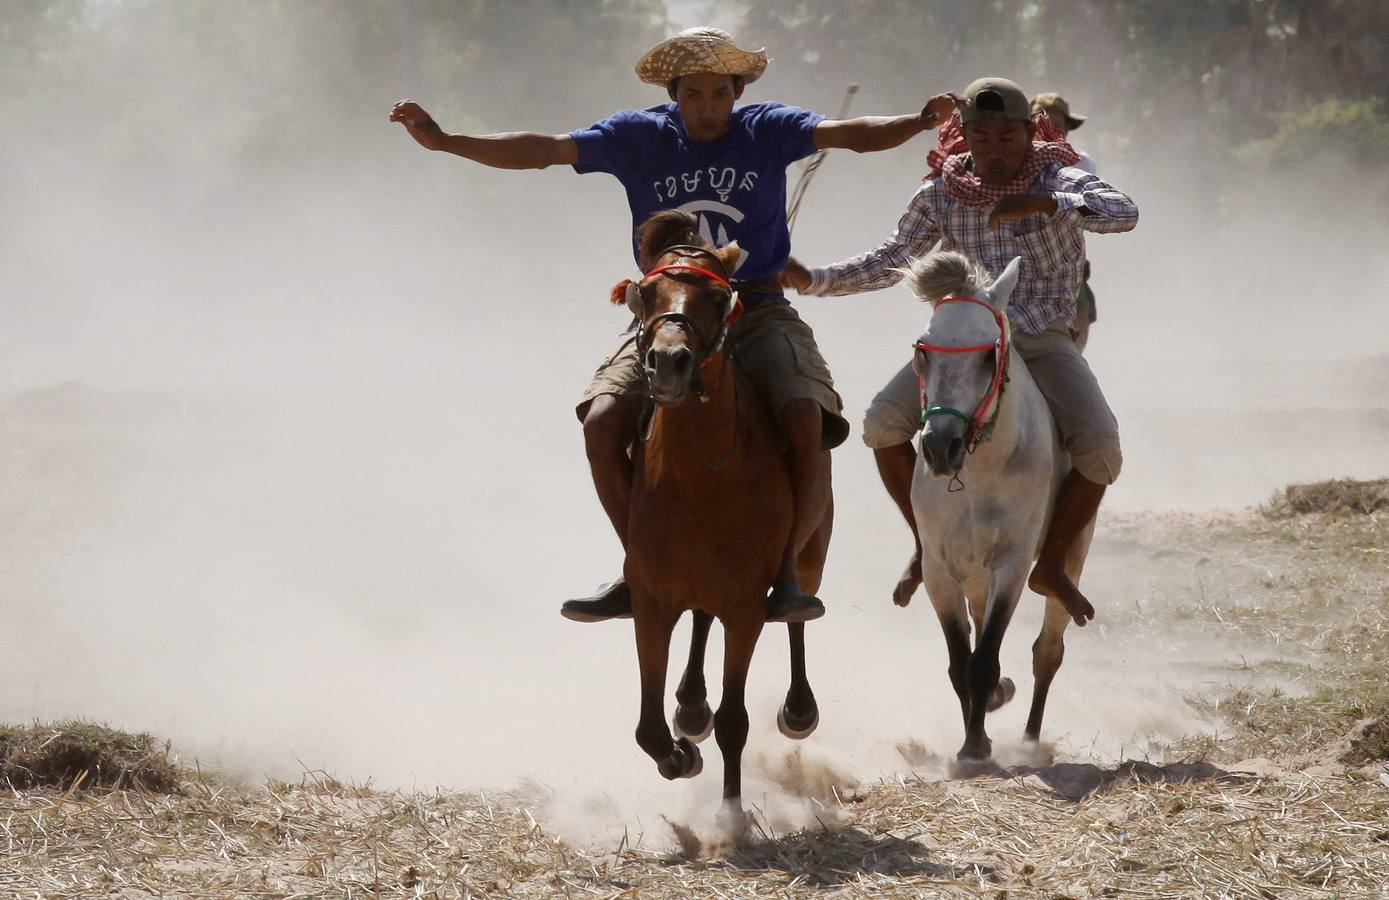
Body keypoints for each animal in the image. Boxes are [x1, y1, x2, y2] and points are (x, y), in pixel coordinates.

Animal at [625, 209, 827, 822]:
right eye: (646, 294)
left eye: (718, 297)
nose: (668, 363)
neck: (699, 479)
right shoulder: (651, 600)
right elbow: (647, 727)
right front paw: (679, 753)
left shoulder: (745, 608)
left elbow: (735, 720)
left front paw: (731, 816)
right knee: (698, 622)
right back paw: (691, 706)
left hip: (812, 552)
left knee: (797, 613)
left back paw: (798, 707)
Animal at [900, 249, 1094, 761]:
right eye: (923, 350)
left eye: (988, 354)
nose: (940, 447)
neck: (981, 471)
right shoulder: (939, 572)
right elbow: (959, 660)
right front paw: (976, 736)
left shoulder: (1011, 564)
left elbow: (984, 659)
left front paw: (974, 747)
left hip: (1069, 556)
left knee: (1048, 651)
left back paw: (1029, 738)